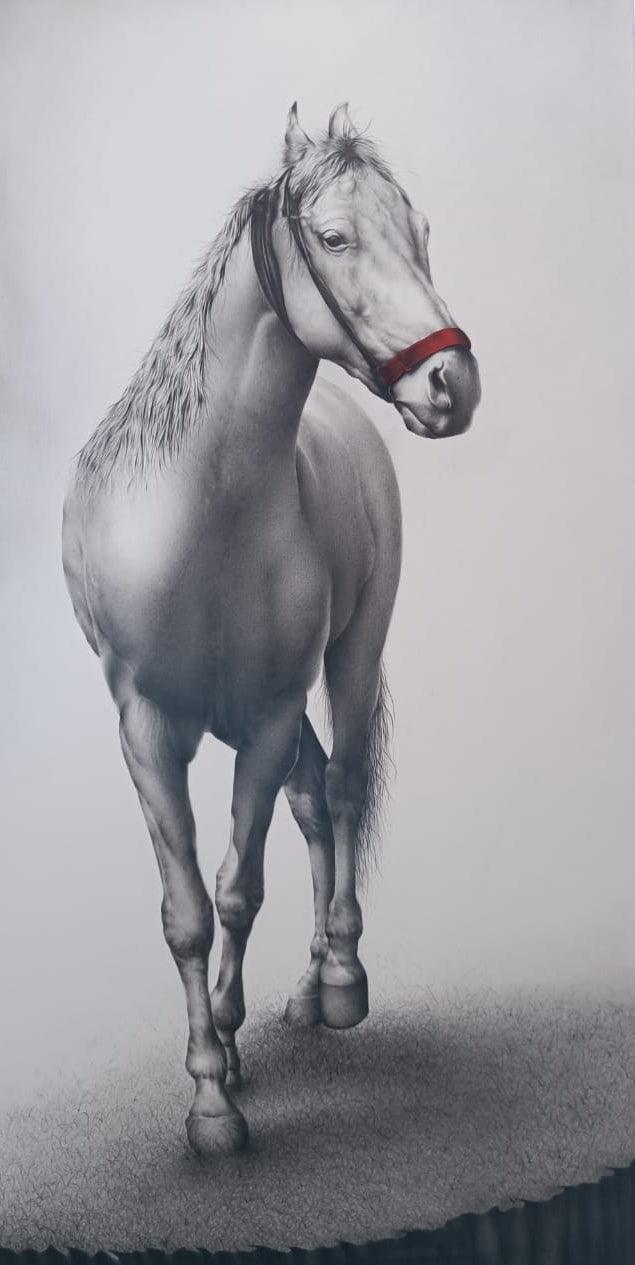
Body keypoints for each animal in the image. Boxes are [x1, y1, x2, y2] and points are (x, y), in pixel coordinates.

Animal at [62, 103, 481, 1156]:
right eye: (333, 238)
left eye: (419, 233)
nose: (452, 384)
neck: (203, 517)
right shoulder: (147, 731)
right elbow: (186, 912)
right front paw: (214, 1081)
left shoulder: (264, 719)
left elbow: (236, 888)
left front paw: (221, 1073)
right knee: (311, 798)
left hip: (348, 659)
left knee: (338, 788)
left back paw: (336, 981)